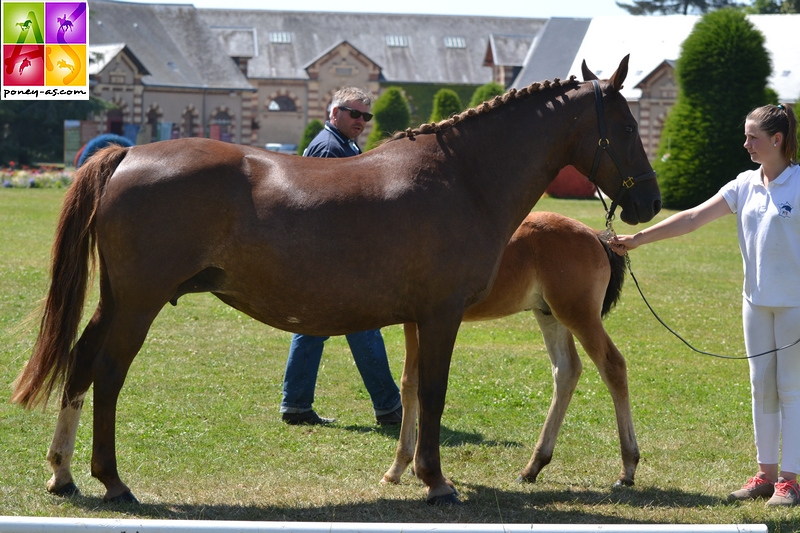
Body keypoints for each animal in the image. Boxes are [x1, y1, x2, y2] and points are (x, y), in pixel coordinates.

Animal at [382, 210, 636, 488]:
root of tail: (596, 235)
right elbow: (412, 384)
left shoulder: (424, 319)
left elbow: (411, 384)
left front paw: (399, 467)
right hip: (549, 314)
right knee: (567, 370)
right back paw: (533, 466)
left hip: (578, 314)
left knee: (613, 365)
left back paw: (628, 467)